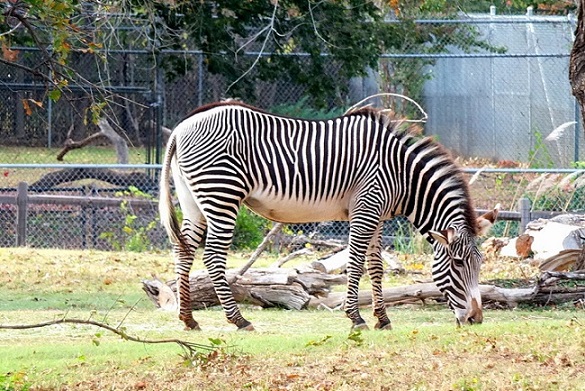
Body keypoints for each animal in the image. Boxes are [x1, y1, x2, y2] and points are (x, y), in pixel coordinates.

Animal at [160, 101, 498, 330]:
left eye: (480, 263)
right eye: (458, 264)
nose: (476, 319)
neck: (401, 174)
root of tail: (180, 127)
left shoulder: (378, 215)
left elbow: (376, 267)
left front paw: (382, 318)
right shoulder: (366, 206)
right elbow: (355, 264)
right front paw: (356, 317)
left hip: (193, 200)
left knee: (183, 250)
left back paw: (188, 319)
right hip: (221, 194)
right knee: (213, 256)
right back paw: (239, 320)